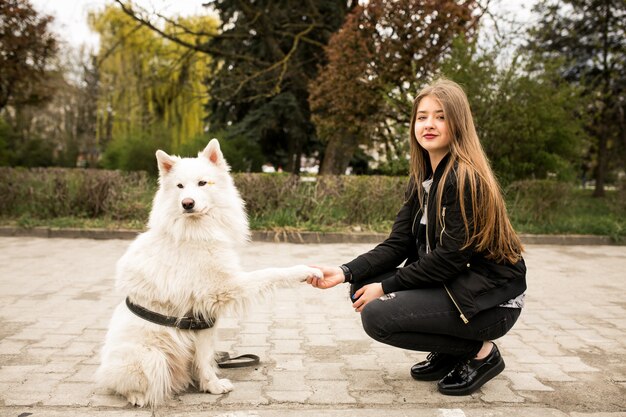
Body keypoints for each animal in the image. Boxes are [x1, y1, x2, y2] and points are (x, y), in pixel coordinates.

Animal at [97, 139, 322, 406]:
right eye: (180, 186)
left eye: (202, 183)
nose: (187, 203)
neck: (195, 230)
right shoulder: (224, 288)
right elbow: (271, 273)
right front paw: (303, 271)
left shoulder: (203, 319)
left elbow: (203, 358)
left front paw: (211, 385)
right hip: (151, 357)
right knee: (126, 385)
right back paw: (137, 397)